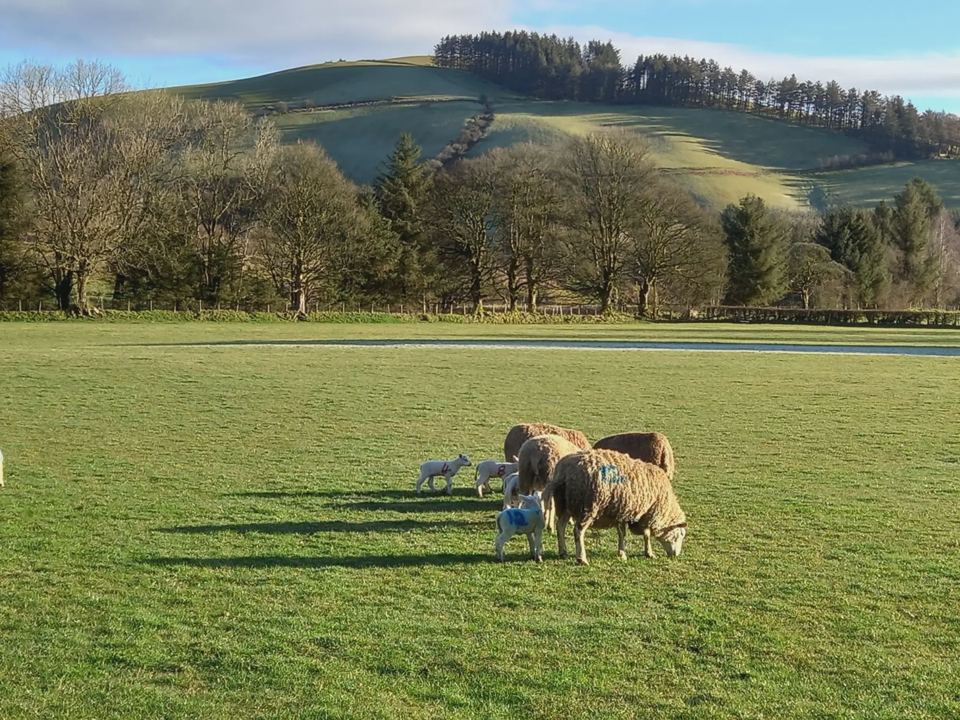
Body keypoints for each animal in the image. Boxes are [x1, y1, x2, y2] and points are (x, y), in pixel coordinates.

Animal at [542, 449, 687, 565]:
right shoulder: (646, 514)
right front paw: (649, 553)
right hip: (588, 506)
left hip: (566, 504)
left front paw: (622, 553)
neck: (664, 506)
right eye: (680, 535)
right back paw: (581, 558)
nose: (676, 555)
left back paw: (563, 552)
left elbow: (622, 533)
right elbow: (646, 534)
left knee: (560, 526)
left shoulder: (622, 511)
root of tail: (564, 472)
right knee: (578, 531)